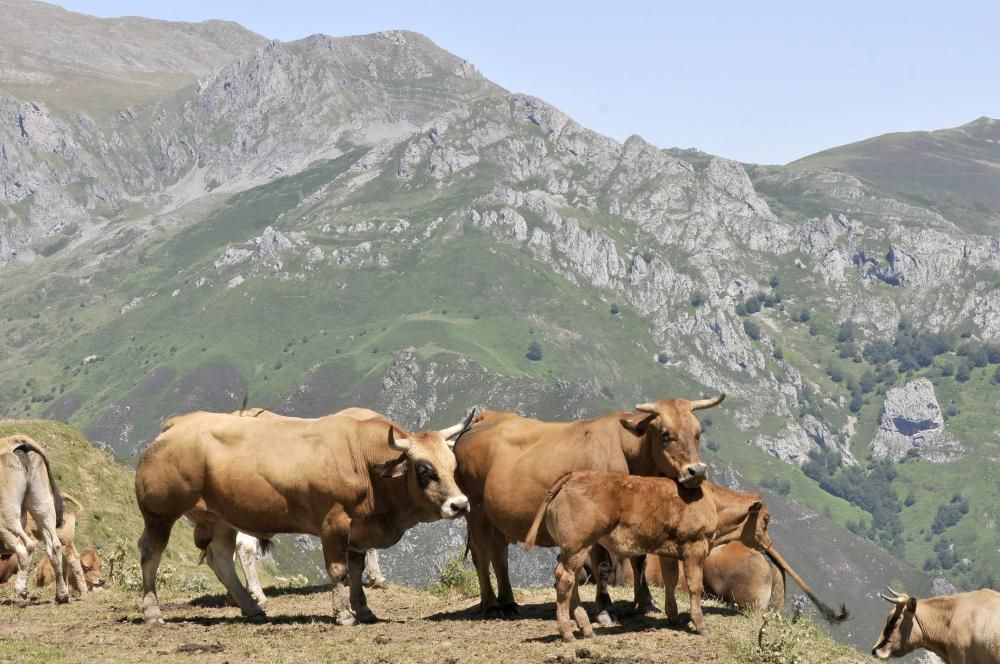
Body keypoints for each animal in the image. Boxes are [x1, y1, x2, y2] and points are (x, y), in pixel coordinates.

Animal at [0, 436, 69, 608]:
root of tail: (12, 442)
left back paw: (20, 596)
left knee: (26, 547)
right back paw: (62, 595)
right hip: (42, 504)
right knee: (54, 546)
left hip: (6, 517)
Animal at [135, 408, 474, 624]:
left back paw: (252, 609)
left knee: (220, 559)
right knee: (151, 553)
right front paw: (344, 614)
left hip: (219, 518)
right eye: (424, 470)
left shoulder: (359, 527)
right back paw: (153, 612)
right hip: (159, 513)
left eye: (452, 464)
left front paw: (363, 609)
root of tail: (178, 423)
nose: (460, 505)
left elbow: (356, 568)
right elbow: (339, 570)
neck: (365, 461)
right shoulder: (334, 523)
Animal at [458, 392, 724, 620]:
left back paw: (509, 603)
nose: (697, 471)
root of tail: (488, 417)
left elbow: (639, 559)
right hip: (476, 508)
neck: (629, 454)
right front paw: (604, 608)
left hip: (495, 516)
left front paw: (646, 602)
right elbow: (602, 565)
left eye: (698, 433)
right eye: (666, 434)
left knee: (499, 554)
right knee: (481, 553)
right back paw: (491, 605)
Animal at [524, 472, 844, 644]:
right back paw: (568, 632)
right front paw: (699, 624)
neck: (711, 502)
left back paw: (585, 628)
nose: (768, 543)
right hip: (578, 545)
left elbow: (670, 580)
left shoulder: (670, 550)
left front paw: (674, 616)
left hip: (574, 549)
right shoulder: (694, 547)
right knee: (564, 580)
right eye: (766, 519)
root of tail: (573, 476)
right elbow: (694, 586)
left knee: (568, 580)